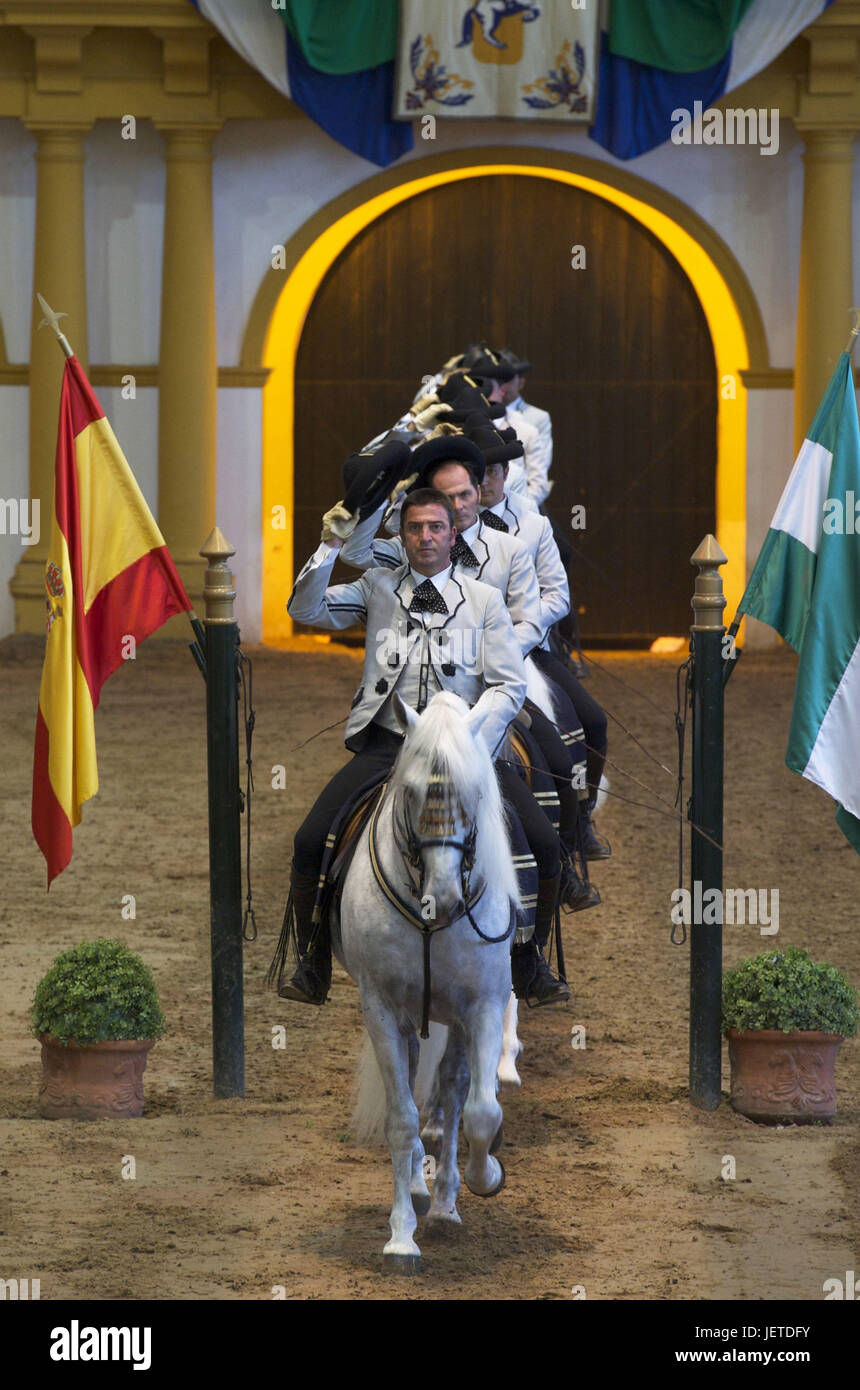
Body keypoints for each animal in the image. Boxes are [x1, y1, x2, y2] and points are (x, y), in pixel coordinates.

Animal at [341, 689, 516, 1267]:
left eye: (476, 791)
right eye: (412, 791)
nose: (443, 899)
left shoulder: (483, 1005)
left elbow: (482, 1110)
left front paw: (486, 1178)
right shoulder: (381, 1008)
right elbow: (401, 1118)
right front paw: (400, 1236)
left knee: (456, 1091)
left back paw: (444, 1202)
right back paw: (421, 1188)